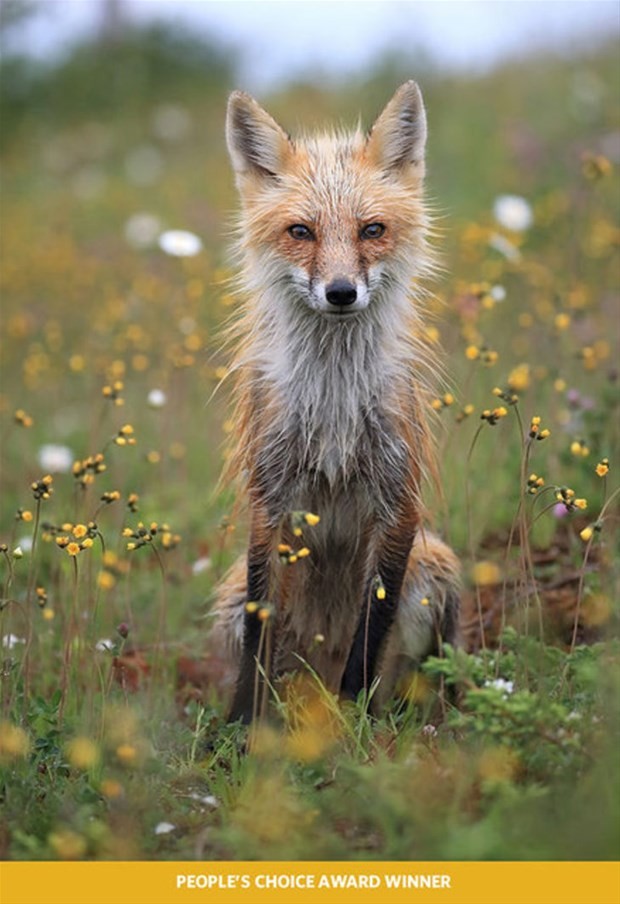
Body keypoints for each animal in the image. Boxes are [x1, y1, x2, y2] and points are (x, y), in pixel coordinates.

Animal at [211, 81, 458, 724]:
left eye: (372, 230)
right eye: (302, 231)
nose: (341, 292)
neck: (333, 410)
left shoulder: (397, 503)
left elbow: (370, 634)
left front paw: (352, 723)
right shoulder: (270, 500)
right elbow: (260, 627)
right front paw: (240, 729)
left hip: (436, 568)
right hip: (229, 596)